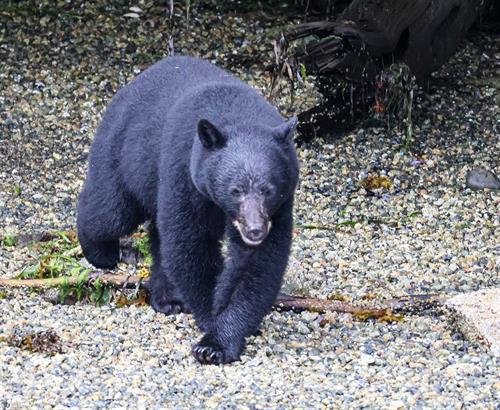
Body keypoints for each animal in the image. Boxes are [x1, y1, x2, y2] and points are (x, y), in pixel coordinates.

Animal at [76, 55, 298, 366]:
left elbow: (257, 263)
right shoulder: (184, 172)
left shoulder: (280, 205)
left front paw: (222, 338)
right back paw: (102, 253)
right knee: (110, 210)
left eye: (268, 190)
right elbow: (192, 244)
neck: (238, 115)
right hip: (124, 153)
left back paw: (166, 297)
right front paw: (210, 326)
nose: (255, 230)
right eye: (236, 190)